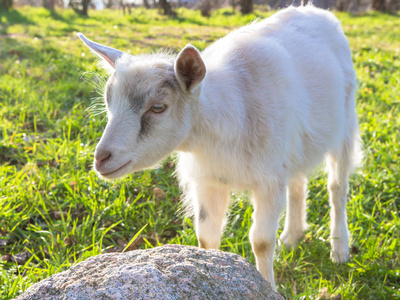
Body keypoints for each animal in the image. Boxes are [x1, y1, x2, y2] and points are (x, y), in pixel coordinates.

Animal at [78, 4, 362, 290]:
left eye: (157, 107)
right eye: (108, 100)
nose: (101, 159)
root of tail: (312, 9)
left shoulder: (268, 181)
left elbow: (261, 242)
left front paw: (268, 287)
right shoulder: (209, 181)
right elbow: (207, 237)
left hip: (345, 126)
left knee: (337, 187)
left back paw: (339, 248)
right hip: (294, 146)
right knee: (297, 182)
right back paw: (291, 237)